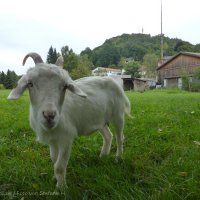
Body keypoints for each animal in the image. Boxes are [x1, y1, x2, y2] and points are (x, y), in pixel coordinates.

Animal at [7, 52, 131, 188]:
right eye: (30, 83)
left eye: (65, 86)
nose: (49, 115)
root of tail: (113, 80)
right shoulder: (53, 141)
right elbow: (54, 160)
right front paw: (55, 179)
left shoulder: (66, 138)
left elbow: (59, 166)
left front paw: (61, 188)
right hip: (100, 120)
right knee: (108, 136)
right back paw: (103, 156)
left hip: (118, 114)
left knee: (120, 138)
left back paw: (118, 158)